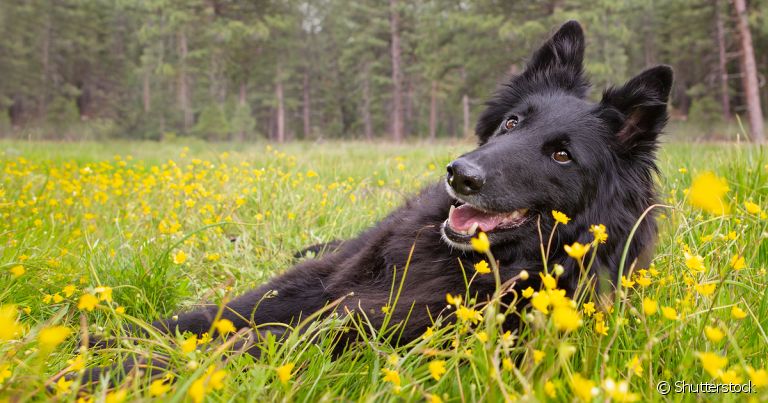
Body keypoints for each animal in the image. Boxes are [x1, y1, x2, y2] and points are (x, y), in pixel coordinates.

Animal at [82, 20, 672, 384]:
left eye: (562, 156)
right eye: (511, 123)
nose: (460, 175)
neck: (478, 263)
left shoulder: (376, 331)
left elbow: (258, 338)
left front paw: (108, 374)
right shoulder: (321, 284)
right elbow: (218, 314)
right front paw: (105, 339)